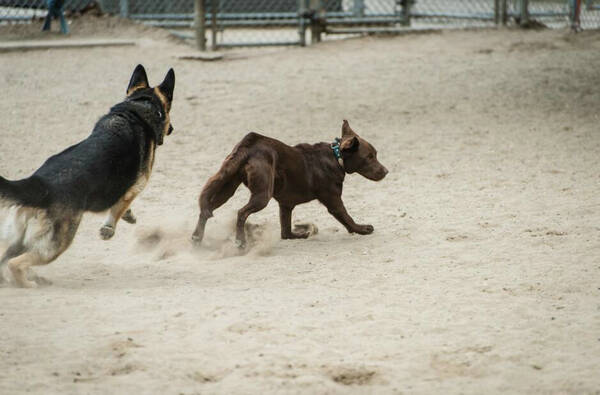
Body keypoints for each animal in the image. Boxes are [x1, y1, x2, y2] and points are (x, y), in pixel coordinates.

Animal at [0, 65, 173, 288]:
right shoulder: (137, 185)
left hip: (21, 239)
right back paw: (28, 284)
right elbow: (118, 209)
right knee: (15, 263)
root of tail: (39, 185)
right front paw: (110, 228)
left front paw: (127, 216)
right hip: (55, 245)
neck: (138, 107)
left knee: (5, 259)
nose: (172, 129)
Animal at [192, 120, 390, 249]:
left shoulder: (286, 205)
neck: (336, 157)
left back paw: (197, 238)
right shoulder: (333, 201)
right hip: (262, 194)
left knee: (206, 211)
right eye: (369, 157)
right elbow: (347, 218)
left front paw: (298, 234)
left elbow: (285, 231)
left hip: (226, 187)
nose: (386, 171)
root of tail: (247, 147)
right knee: (241, 213)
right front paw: (362, 229)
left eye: (375, 154)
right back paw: (240, 242)